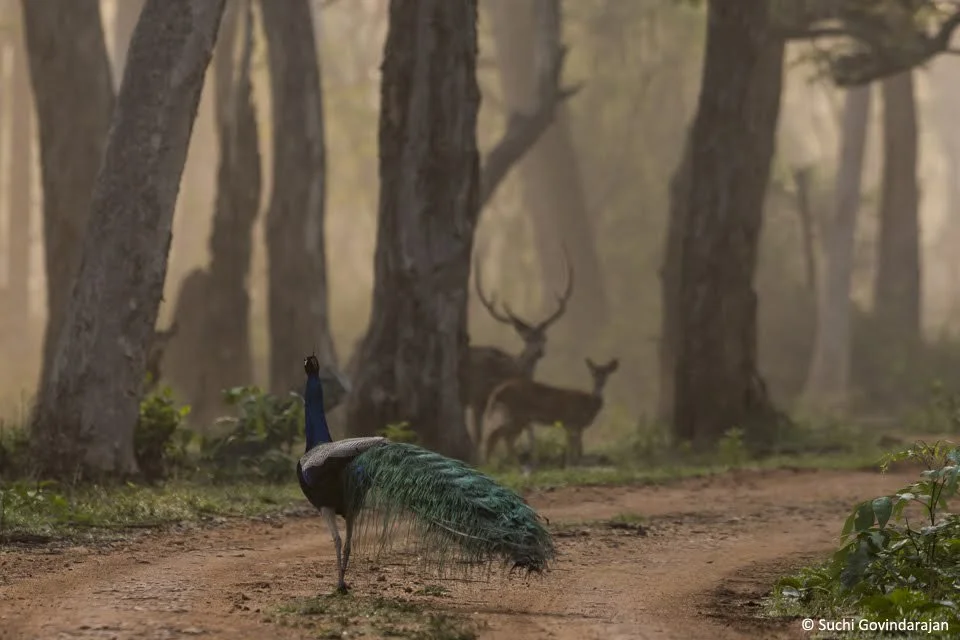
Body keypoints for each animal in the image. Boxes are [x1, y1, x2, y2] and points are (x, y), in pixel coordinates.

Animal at [484, 357, 619, 468]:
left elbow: (576, 447)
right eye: (593, 373)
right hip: (517, 414)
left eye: (606, 373)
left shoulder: (575, 426)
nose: (600, 381)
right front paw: (570, 465)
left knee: (504, 437)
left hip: (514, 416)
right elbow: (573, 447)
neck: (589, 404)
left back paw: (510, 465)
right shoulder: (572, 422)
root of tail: (498, 391)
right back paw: (495, 464)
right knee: (498, 435)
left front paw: (571, 464)